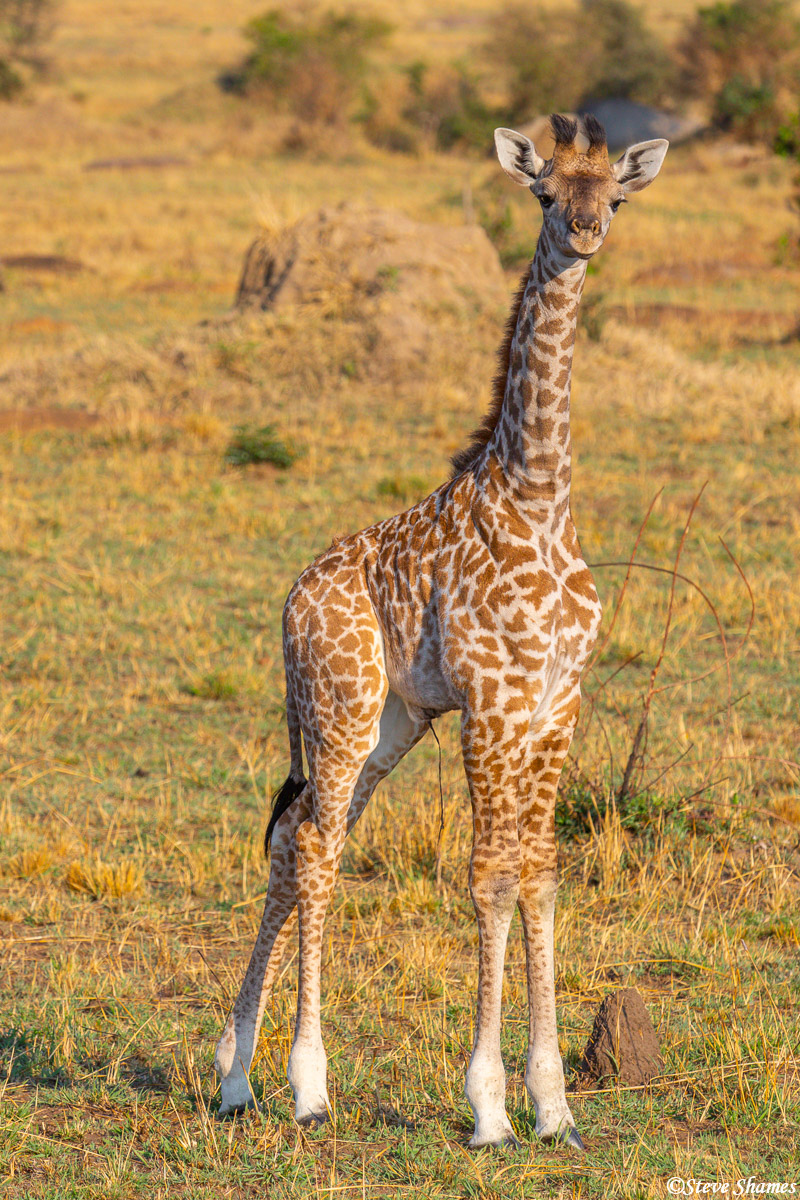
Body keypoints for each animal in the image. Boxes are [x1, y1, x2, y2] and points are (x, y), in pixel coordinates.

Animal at [214, 114, 671, 1152]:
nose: (586, 232)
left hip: (386, 723)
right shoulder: (493, 704)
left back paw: (233, 1075)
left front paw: (555, 1106)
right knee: (317, 847)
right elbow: (490, 877)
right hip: (339, 707)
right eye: (545, 191)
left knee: (295, 835)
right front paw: (491, 1106)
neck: (538, 497)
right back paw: (306, 1086)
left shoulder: (556, 703)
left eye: (615, 195)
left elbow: (541, 873)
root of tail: (291, 598)